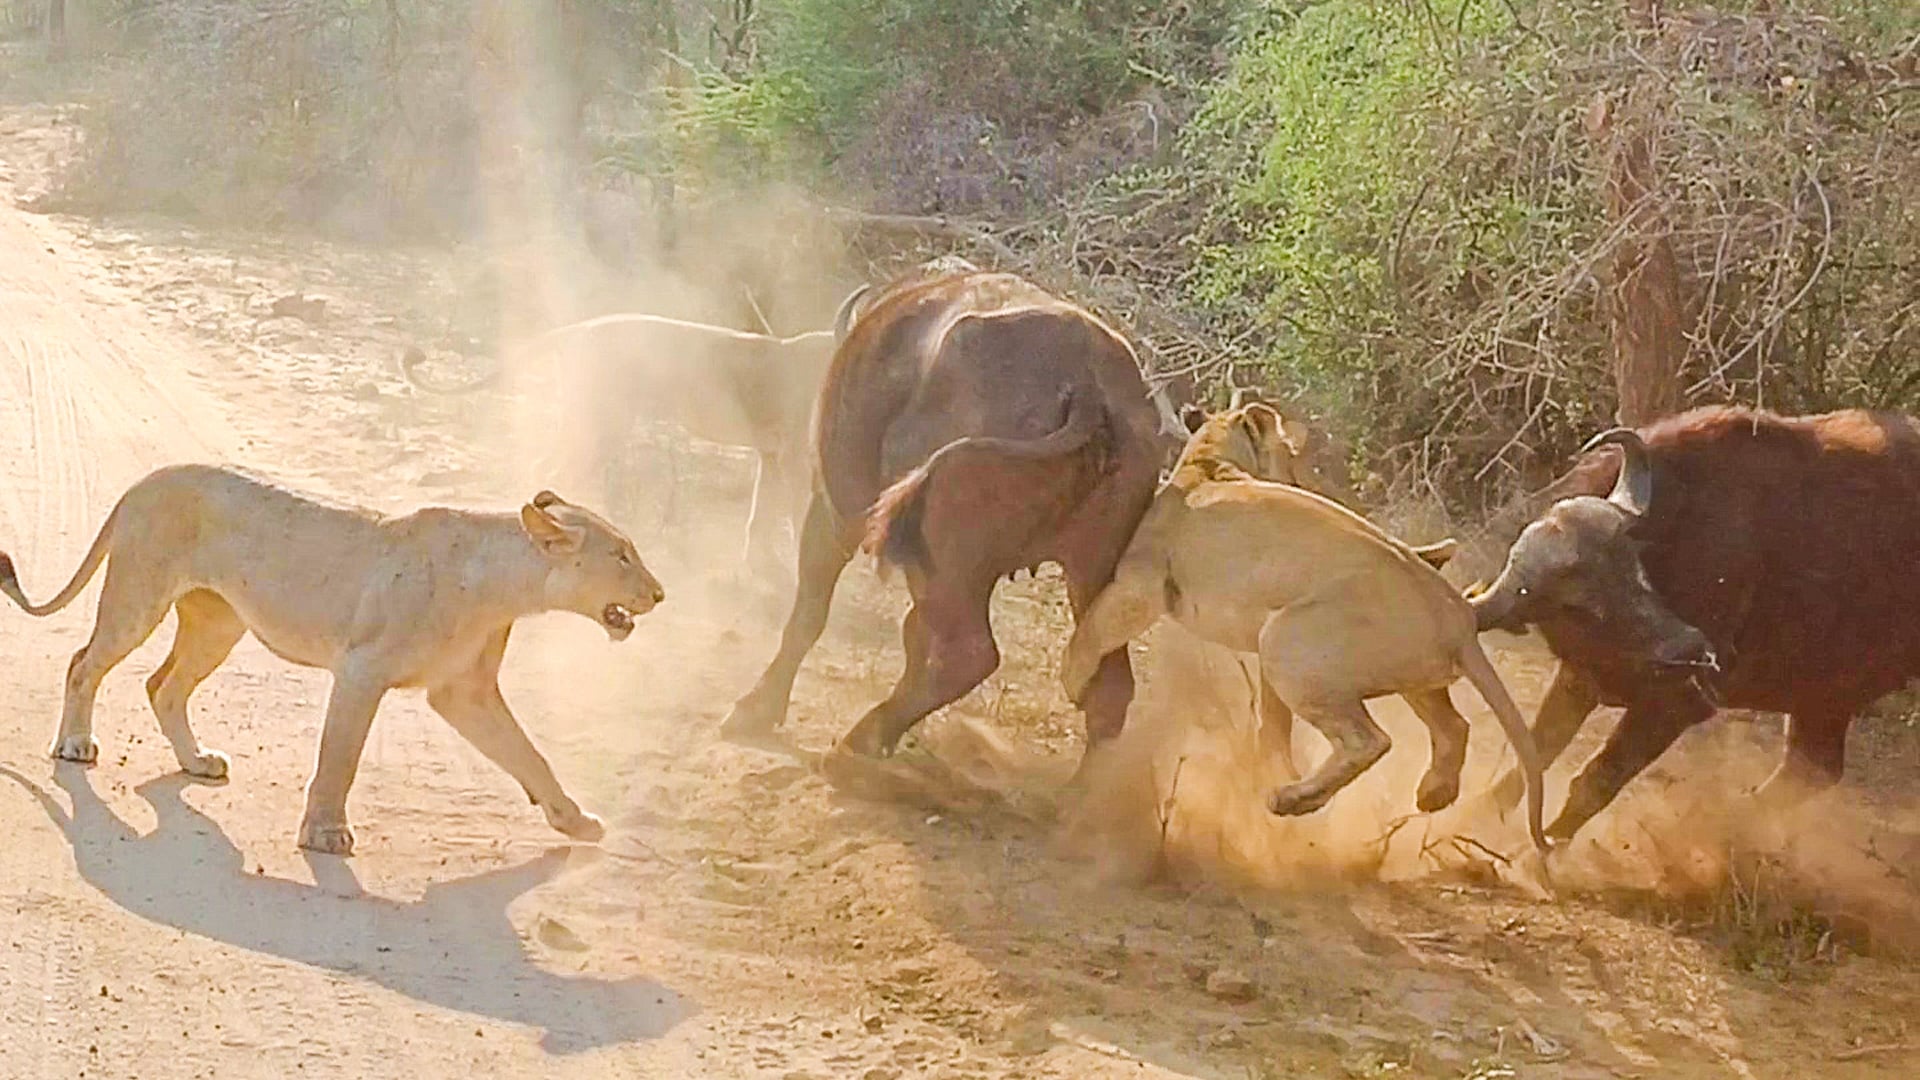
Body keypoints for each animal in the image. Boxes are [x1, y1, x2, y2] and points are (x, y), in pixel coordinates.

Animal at [0, 465, 665, 856]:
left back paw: (197, 761)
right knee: (84, 662)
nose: (659, 594)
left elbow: (529, 755)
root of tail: (143, 480)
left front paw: (576, 822)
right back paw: (75, 744)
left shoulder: (463, 692)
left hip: (219, 622)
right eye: (622, 556)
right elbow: (341, 757)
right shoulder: (362, 671)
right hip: (139, 595)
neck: (509, 584)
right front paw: (324, 833)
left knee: (164, 686)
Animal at [1059, 402, 1546, 849]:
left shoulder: (1141, 587)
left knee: (1371, 740)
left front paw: (1072, 681)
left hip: (1288, 643)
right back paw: (1432, 794)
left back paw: (1291, 799)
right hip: (1409, 678)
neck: (1211, 464)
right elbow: (1273, 719)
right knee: (1453, 727)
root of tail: (1458, 616)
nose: (1304, 474)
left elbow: (1093, 630)